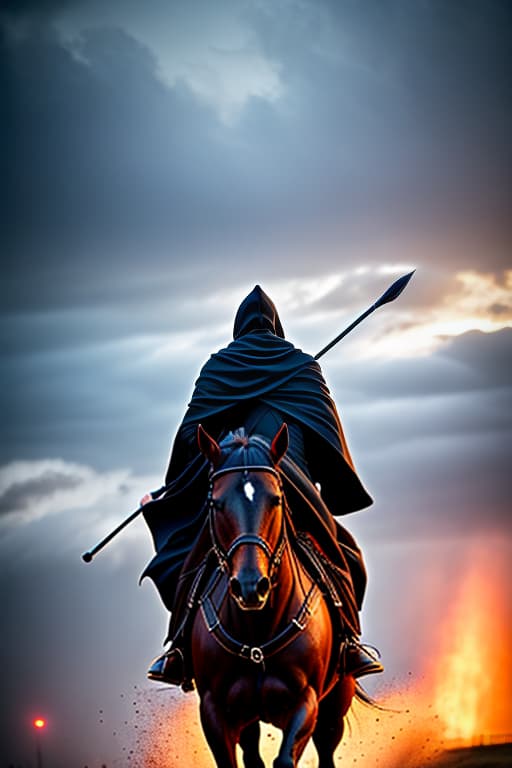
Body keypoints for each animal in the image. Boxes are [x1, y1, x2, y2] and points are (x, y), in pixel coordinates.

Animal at [191, 424, 356, 768]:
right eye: (215, 503)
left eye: (277, 499)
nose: (251, 587)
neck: (257, 629)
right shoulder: (215, 711)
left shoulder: (305, 701)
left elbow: (284, 760)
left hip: (334, 706)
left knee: (326, 751)